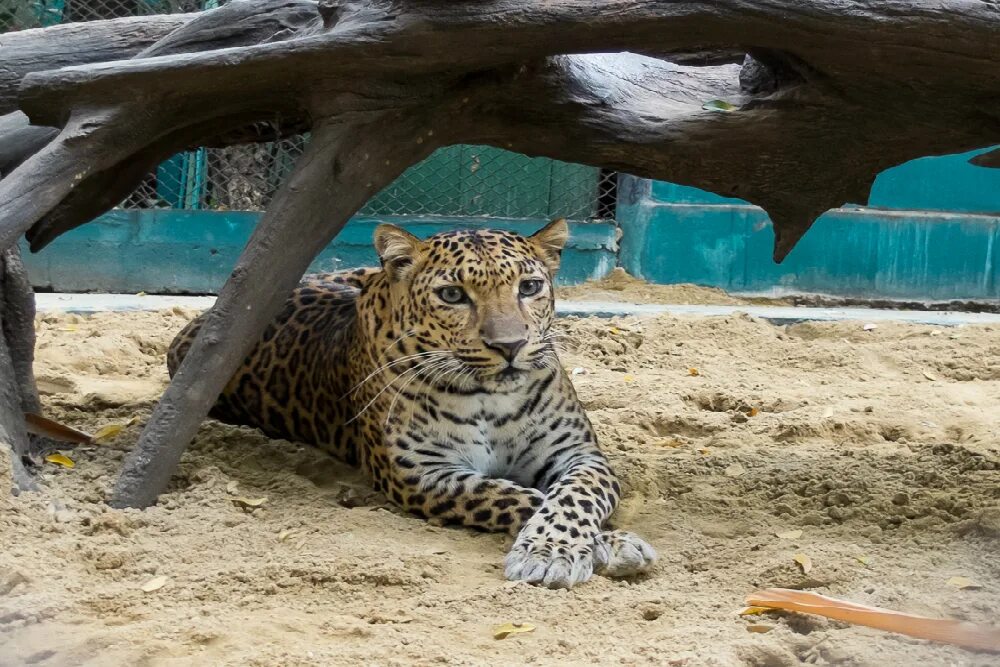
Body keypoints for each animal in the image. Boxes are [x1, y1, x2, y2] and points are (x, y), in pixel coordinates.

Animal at [170, 219, 656, 588]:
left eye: (530, 287)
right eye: (453, 295)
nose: (510, 346)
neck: (491, 398)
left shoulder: (579, 454)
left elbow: (574, 496)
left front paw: (561, 546)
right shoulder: (421, 473)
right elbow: (517, 495)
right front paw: (601, 545)